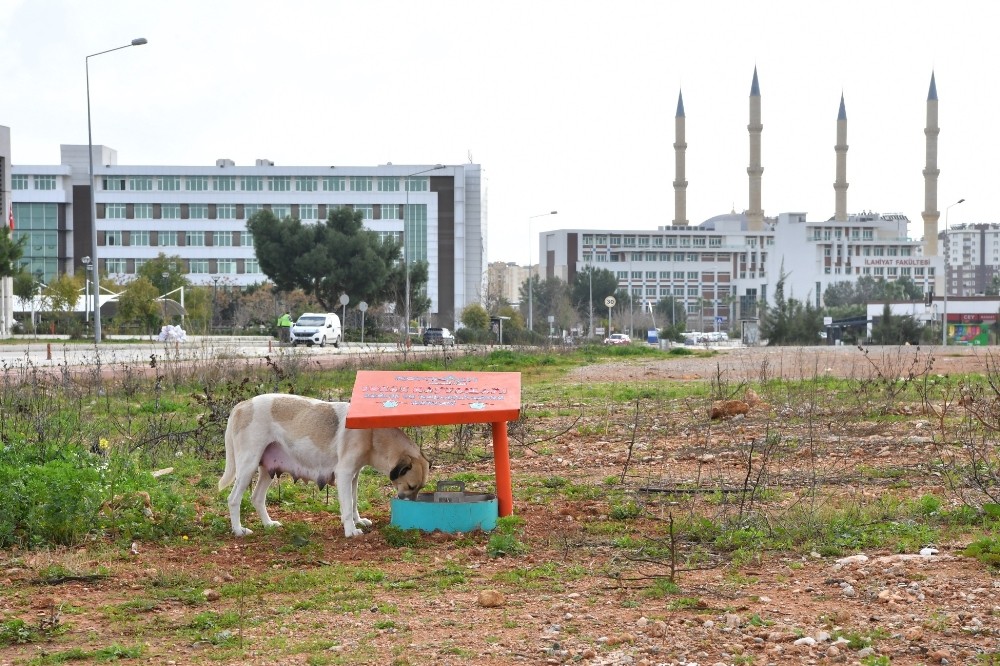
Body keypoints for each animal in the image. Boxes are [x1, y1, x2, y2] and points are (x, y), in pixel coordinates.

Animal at [220, 394, 430, 536]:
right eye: (410, 486)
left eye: (419, 488)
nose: (413, 506)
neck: (372, 434)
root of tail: (242, 405)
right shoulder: (344, 474)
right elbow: (347, 506)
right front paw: (351, 530)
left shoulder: (354, 476)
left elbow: (354, 501)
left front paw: (358, 521)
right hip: (247, 466)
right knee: (233, 499)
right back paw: (238, 530)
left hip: (267, 471)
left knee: (256, 498)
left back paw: (268, 524)